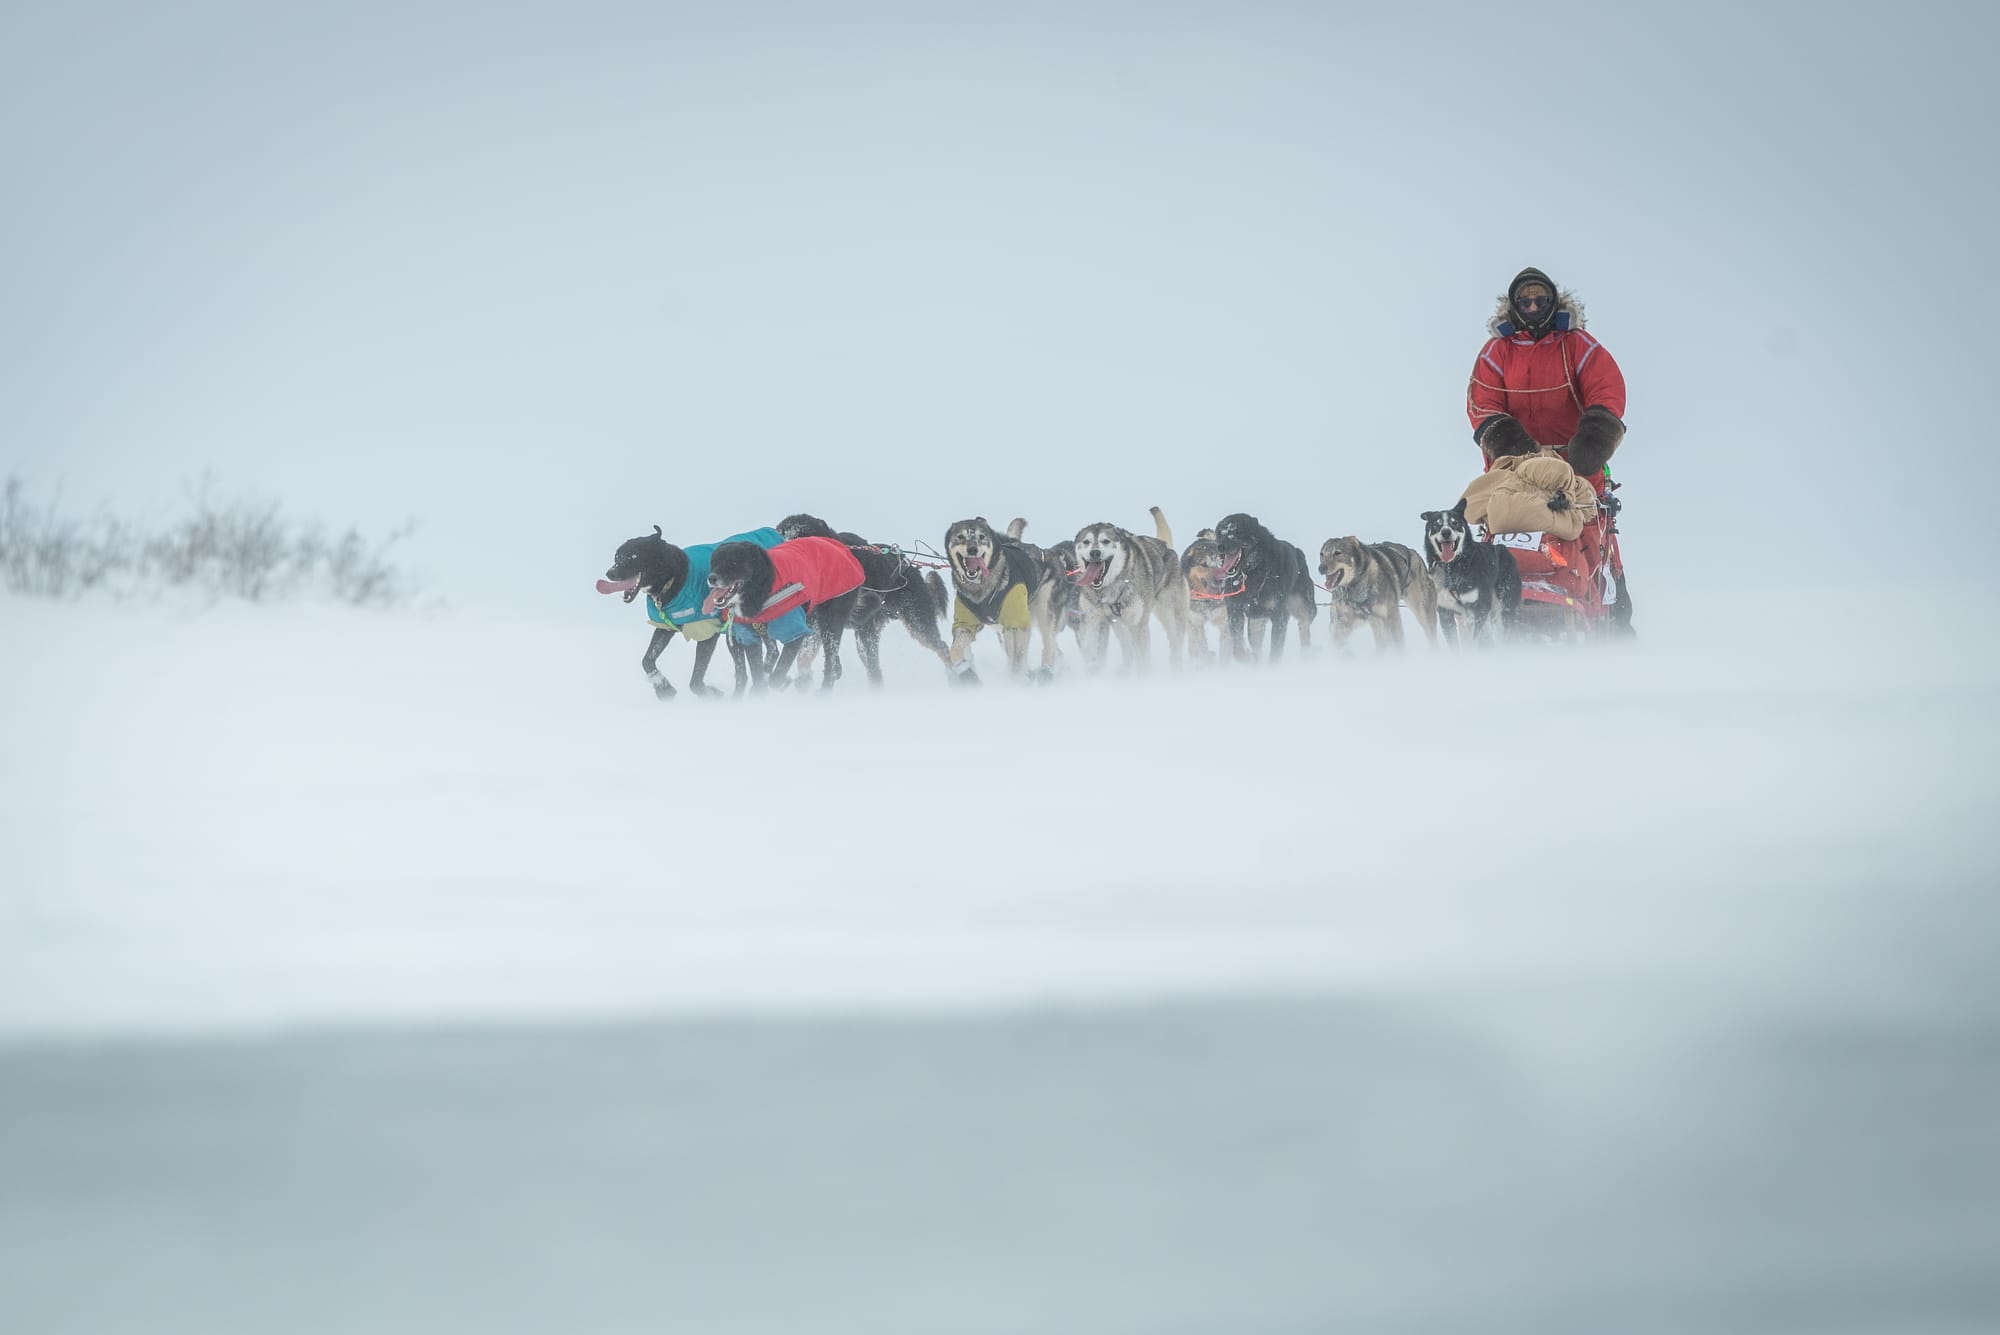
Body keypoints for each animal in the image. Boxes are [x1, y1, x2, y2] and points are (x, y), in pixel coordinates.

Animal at [1208, 511, 1320, 663]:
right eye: (1220, 533)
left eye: (1237, 532)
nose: (1220, 546)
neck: (1253, 573)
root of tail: (1298, 552)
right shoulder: (1235, 612)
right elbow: (1237, 649)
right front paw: (1247, 659)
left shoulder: (1280, 616)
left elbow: (1275, 652)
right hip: (1256, 623)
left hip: (1305, 607)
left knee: (1304, 626)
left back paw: (1307, 654)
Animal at [1312, 535, 1440, 651]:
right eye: (1321, 554)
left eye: (1337, 553)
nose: (1321, 568)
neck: (1355, 587)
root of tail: (1414, 553)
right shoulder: (1340, 623)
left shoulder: (1391, 617)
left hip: (1423, 614)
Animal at [1424, 497, 1512, 647]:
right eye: (1437, 524)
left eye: (1455, 523)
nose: (1446, 532)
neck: (1452, 568)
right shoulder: (1445, 612)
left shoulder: (1480, 608)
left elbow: (1473, 640)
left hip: (1501, 609)